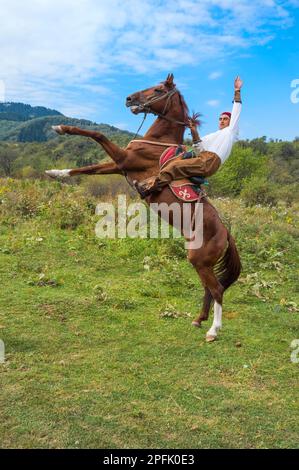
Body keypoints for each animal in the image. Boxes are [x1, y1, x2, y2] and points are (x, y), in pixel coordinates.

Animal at [48, 74, 241, 346]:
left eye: (158, 89)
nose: (129, 98)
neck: (159, 142)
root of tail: (226, 234)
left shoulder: (124, 159)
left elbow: (97, 134)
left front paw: (61, 128)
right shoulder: (119, 165)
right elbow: (88, 168)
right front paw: (57, 172)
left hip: (199, 261)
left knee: (217, 290)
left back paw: (213, 330)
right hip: (201, 263)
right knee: (209, 289)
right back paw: (198, 319)